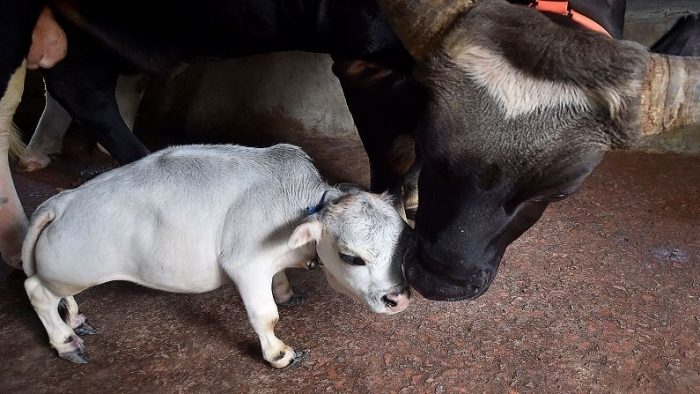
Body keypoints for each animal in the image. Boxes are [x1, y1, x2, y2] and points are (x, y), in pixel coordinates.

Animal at [21, 144, 410, 370]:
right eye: (351, 257)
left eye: (402, 246)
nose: (400, 299)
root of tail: (61, 201)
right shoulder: (246, 264)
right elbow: (266, 315)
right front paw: (279, 355)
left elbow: (279, 283)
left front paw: (286, 291)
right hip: (75, 270)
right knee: (36, 290)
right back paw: (66, 343)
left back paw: (74, 318)